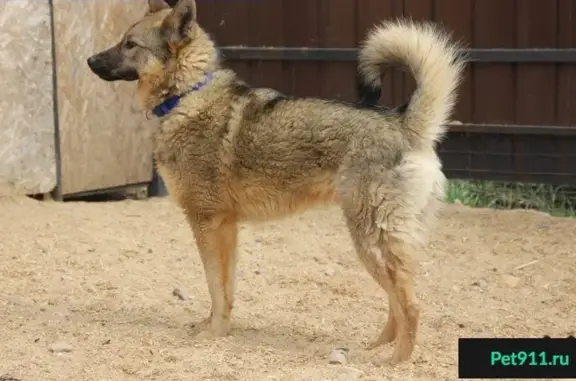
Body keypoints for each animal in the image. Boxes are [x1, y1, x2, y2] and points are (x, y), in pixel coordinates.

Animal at [88, 0, 466, 364]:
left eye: (130, 44)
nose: (90, 60)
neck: (188, 95)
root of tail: (405, 124)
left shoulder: (207, 224)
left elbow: (215, 286)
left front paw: (213, 333)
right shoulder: (227, 228)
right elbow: (225, 289)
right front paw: (218, 327)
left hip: (371, 241)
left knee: (411, 306)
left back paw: (395, 362)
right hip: (375, 245)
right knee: (396, 303)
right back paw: (375, 347)